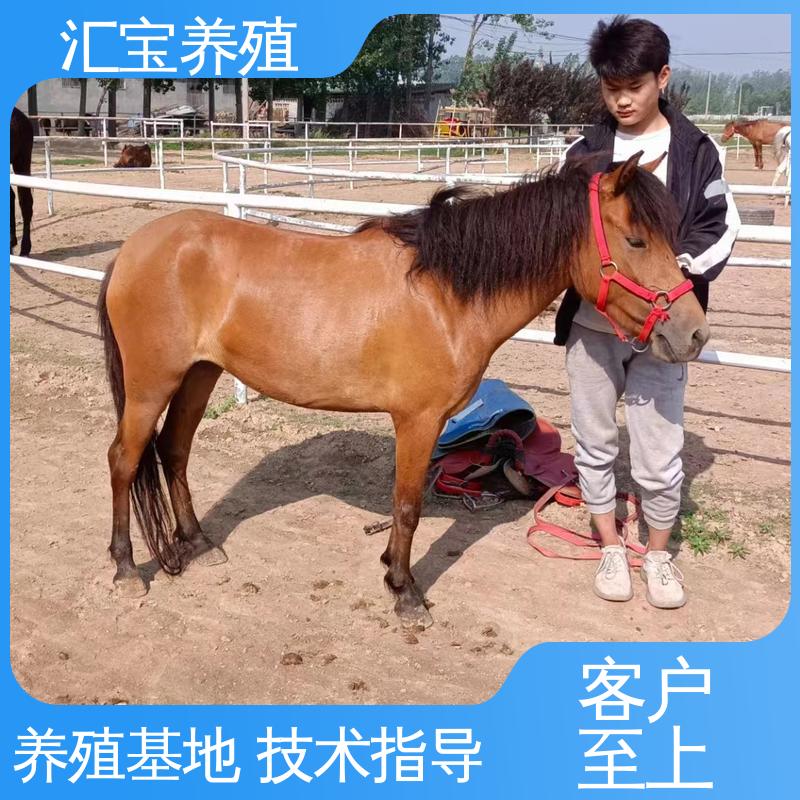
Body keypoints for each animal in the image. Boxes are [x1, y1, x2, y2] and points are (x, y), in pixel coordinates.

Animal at [97, 151, 709, 628]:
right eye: (636, 240)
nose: (694, 334)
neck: (447, 294)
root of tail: (133, 249)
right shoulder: (419, 420)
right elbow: (408, 504)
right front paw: (406, 592)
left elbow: (403, 505)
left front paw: (392, 574)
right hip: (152, 384)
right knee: (125, 459)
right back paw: (126, 569)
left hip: (199, 375)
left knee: (174, 452)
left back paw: (198, 545)